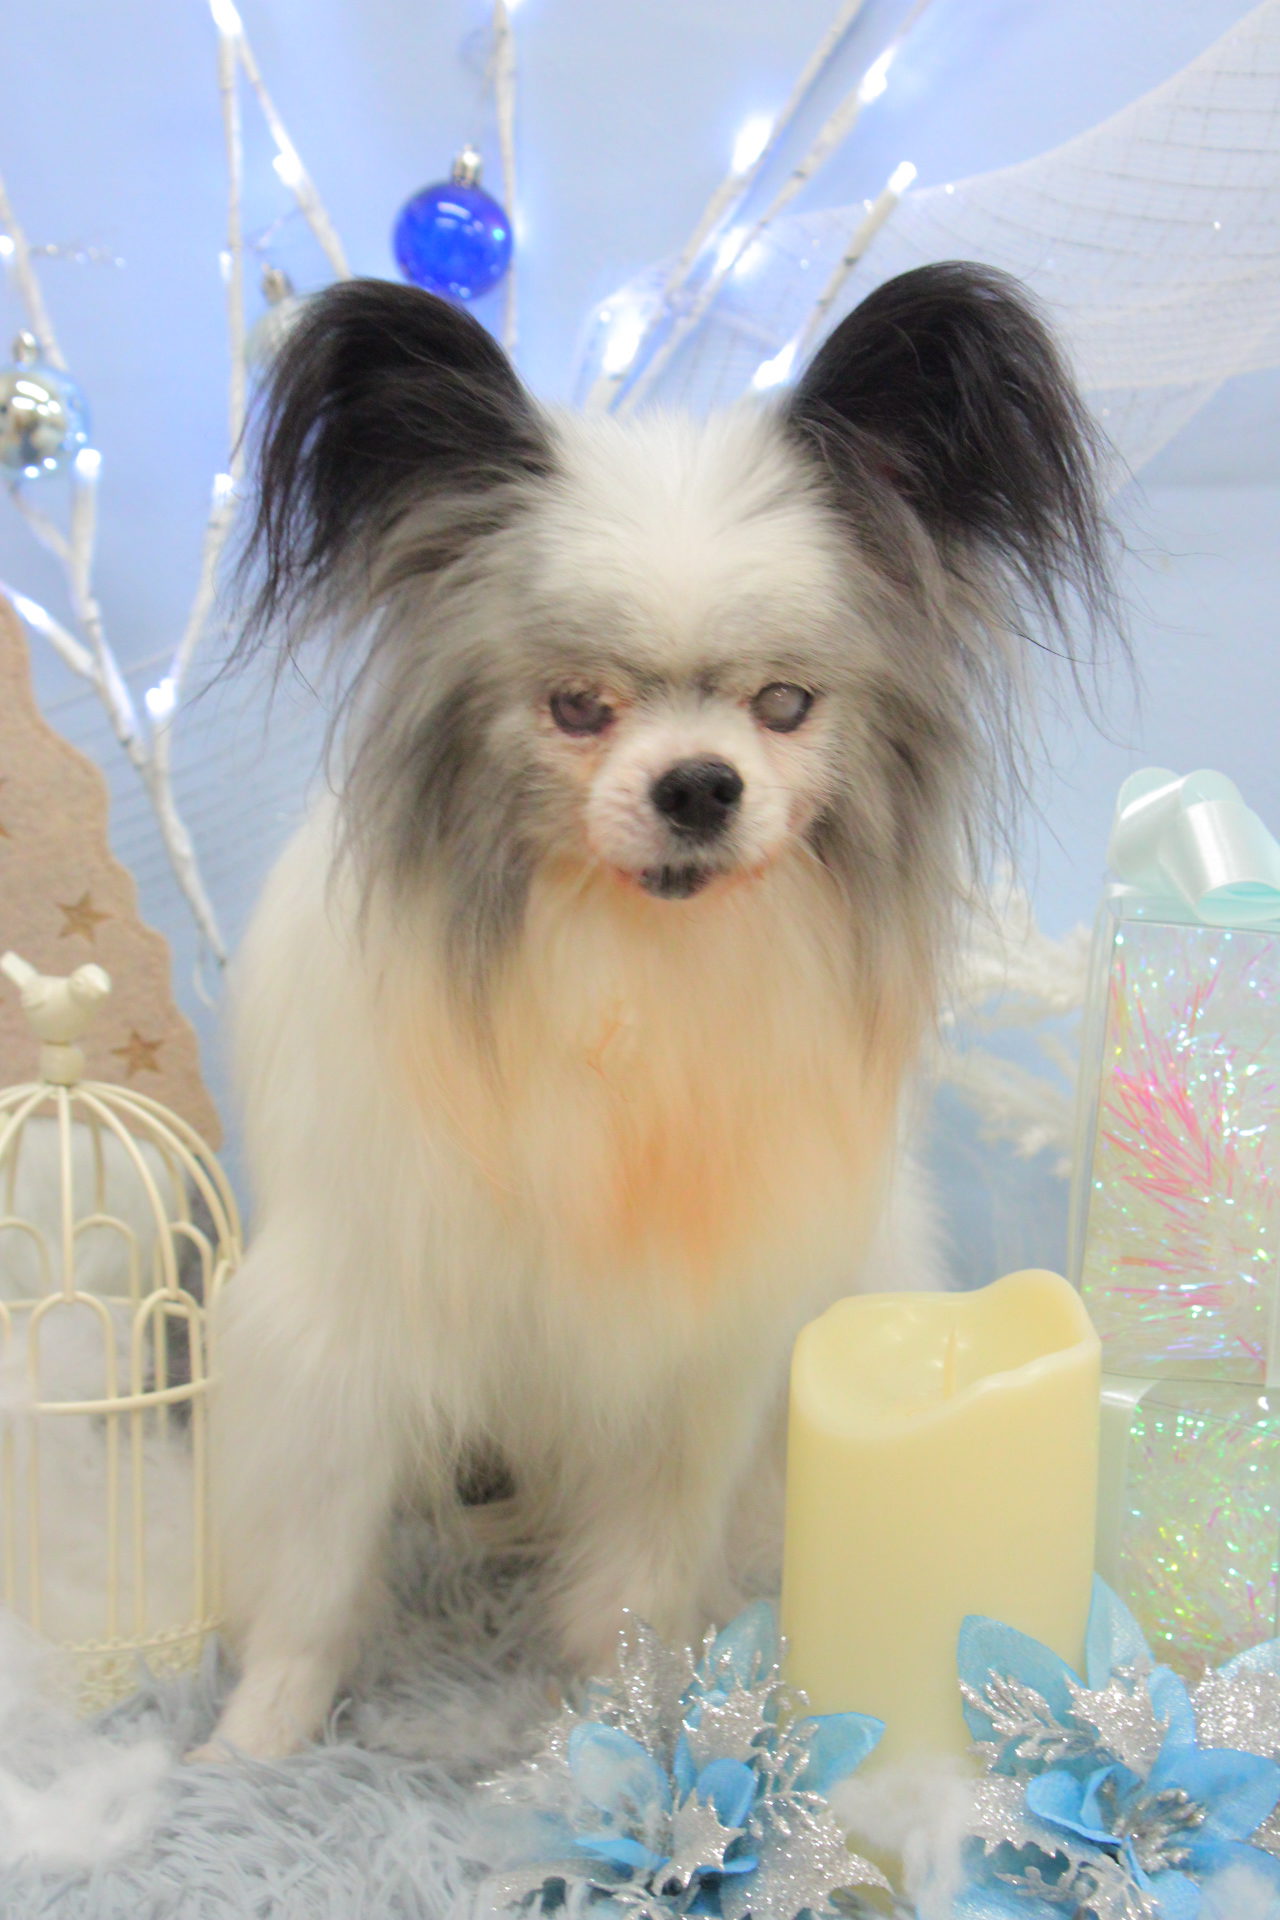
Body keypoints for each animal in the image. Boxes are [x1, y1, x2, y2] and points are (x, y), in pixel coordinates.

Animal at [204, 263, 1112, 1758]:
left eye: (785, 705)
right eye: (579, 705)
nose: (698, 783)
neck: (632, 969)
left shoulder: (690, 1364)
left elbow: (637, 1578)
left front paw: (608, 1729)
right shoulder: (354, 1320)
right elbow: (316, 1573)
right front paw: (255, 1744)